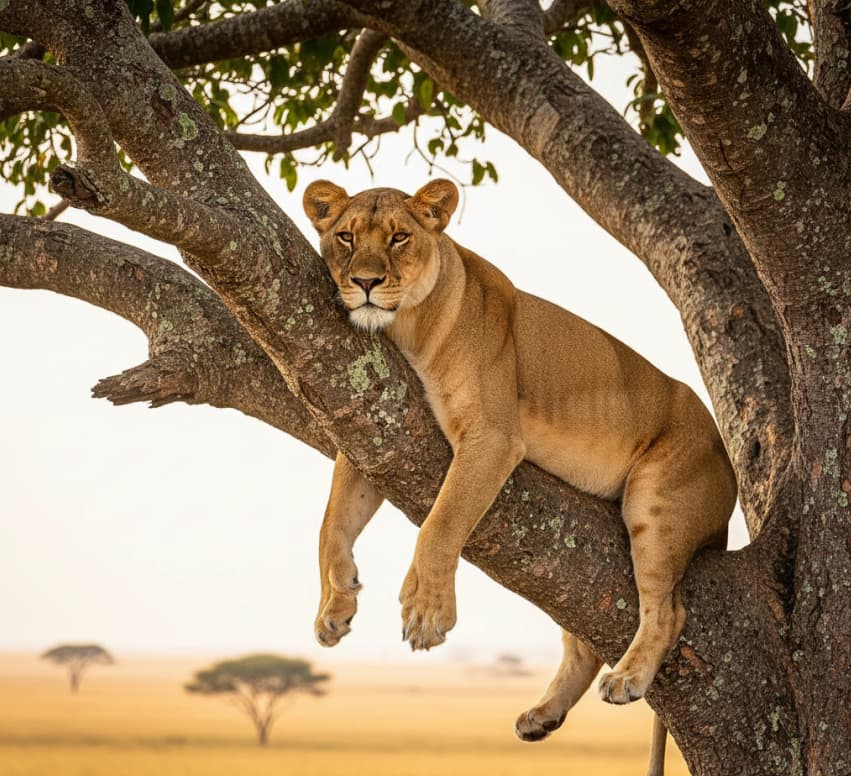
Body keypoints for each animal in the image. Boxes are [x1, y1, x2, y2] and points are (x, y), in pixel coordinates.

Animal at [302, 178, 737, 775]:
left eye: (398, 238)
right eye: (345, 237)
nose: (364, 282)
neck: (408, 327)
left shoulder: (491, 437)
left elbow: (441, 523)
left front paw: (426, 610)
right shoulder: (373, 423)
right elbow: (330, 525)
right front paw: (335, 605)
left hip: (656, 502)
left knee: (668, 611)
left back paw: (626, 678)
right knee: (582, 640)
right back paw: (543, 716)